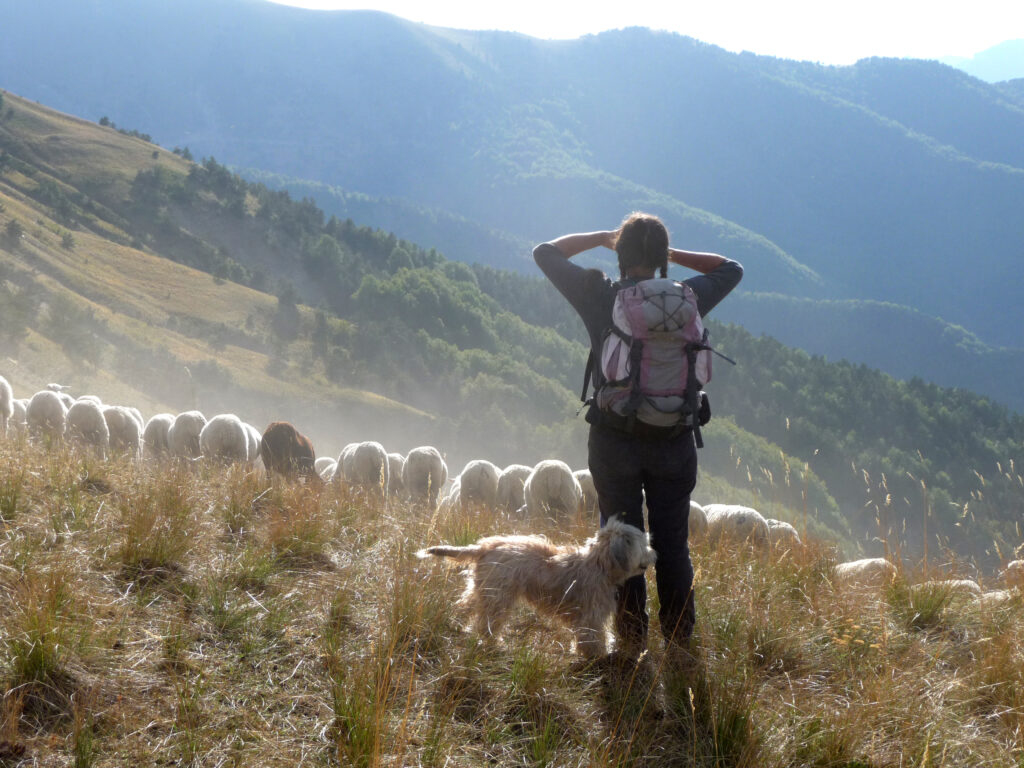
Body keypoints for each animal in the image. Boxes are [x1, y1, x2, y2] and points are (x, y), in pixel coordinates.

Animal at [415, 520, 655, 659]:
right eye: (644, 544)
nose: (655, 554)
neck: (600, 564)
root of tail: (486, 546)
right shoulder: (591, 615)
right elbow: (593, 636)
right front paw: (596, 656)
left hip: (484, 588)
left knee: (465, 606)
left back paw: (456, 625)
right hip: (499, 596)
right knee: (487, 624)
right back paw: (495, 643)